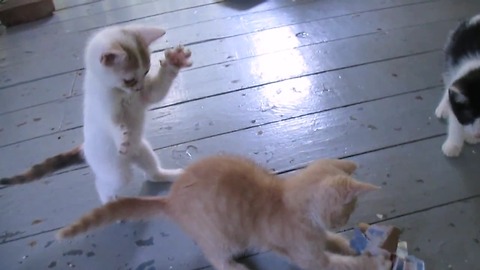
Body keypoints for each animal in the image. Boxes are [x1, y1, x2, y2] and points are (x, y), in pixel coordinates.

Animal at [58, 156, 392, 270]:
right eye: (349, 207)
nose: (346, 220)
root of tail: (171, 199)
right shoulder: (309, 258)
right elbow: (342, 265)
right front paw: (373, 260)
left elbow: (333, 242)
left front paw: (348, 243)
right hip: (221, 236)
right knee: (216, 258)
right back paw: (234, 267)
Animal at [436, 14, 480, 157]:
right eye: (469, 115)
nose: (477, 134)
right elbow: (455, 120)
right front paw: (453, 145)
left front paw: (471, 137)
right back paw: (443, 107)